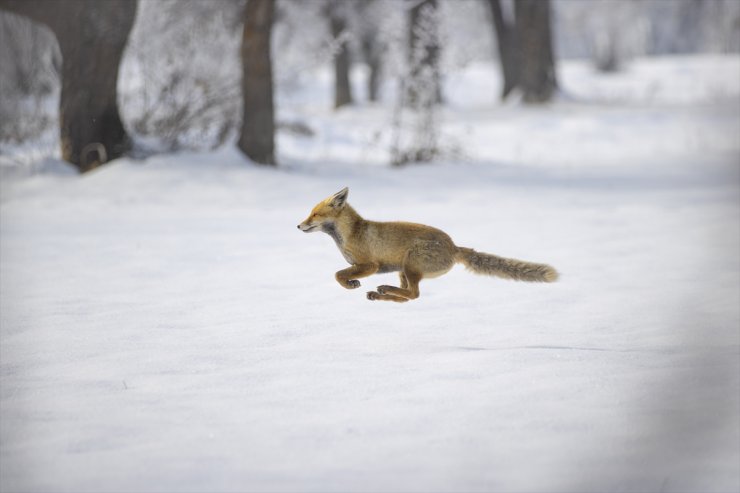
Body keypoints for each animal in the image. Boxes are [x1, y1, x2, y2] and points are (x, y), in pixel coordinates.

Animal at [298, 188, 556, 304]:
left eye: (314, 214)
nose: (299, 226)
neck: (350, 234)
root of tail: (454, 246)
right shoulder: (367, 266)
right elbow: (339, 273)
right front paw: (353, 284)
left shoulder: (370, 265)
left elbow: (338, 274)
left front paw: (350, 284)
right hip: (403, 270)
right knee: (409, 297)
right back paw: (381, 293)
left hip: (410, 265)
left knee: (414, 294)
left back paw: (382, 289)